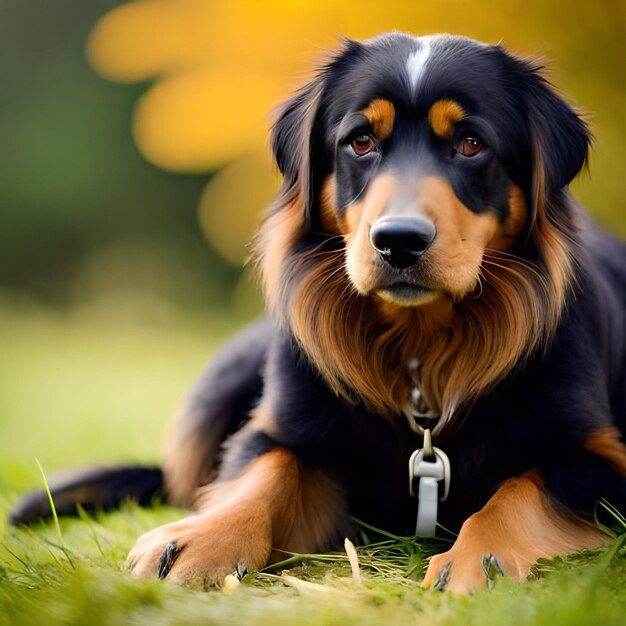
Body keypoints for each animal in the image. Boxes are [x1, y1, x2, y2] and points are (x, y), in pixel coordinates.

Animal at [11, 33, 624, 588]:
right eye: (360, 141)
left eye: (471, 144)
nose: (398, 242)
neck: (419, 349)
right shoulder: (283, 428)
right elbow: (269, 467)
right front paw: (200, 537)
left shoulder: (604, 460)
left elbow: (527, 486)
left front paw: (481, 557)